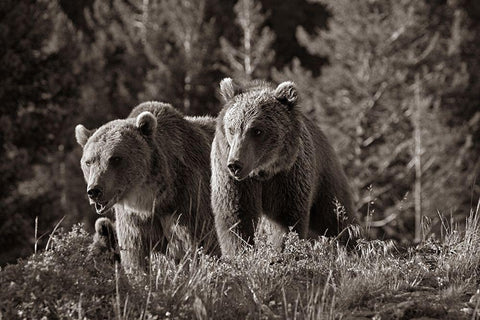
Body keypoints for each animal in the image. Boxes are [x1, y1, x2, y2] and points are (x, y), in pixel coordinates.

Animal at [76, 101, 220, 272]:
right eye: (89, 162)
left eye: (115, 158)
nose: (94, 191)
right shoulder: (134, 220)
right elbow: (135, 256)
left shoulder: (188, 201)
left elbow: (199, 244)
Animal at [211, 79, 356, 256]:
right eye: (232, 129)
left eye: (257, 131)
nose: (235, 164)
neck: (262, 172)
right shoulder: (234, 181)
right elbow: (236, 219)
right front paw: (239, 253)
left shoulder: (287, 177)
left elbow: (286, 221)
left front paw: (282, 251)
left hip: (325, 177)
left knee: (336, 216)